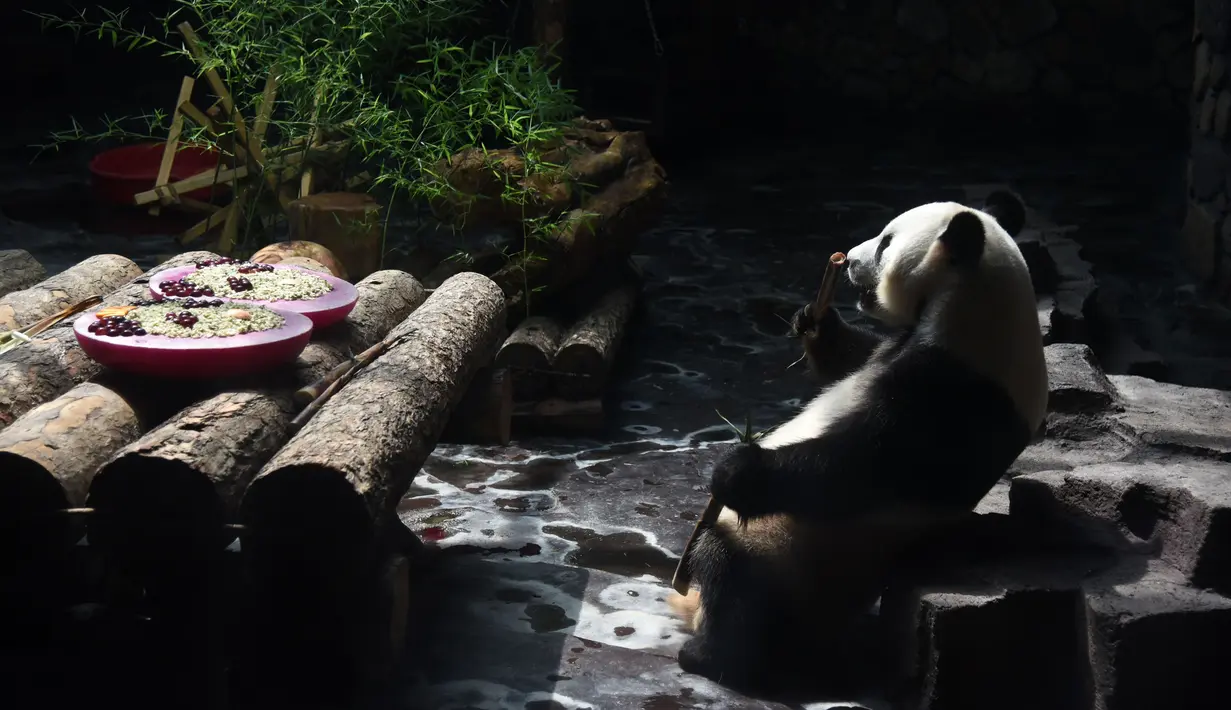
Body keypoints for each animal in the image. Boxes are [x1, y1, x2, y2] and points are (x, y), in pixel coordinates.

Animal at [667, 190, 1046, 694]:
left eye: (885, 242)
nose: (847, 260)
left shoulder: (956, 392)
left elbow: (862, 466)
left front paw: (736, 469)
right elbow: (854, 360)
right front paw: (816, 321)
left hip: (784, 553)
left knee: (731, 575)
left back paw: (710, 656)